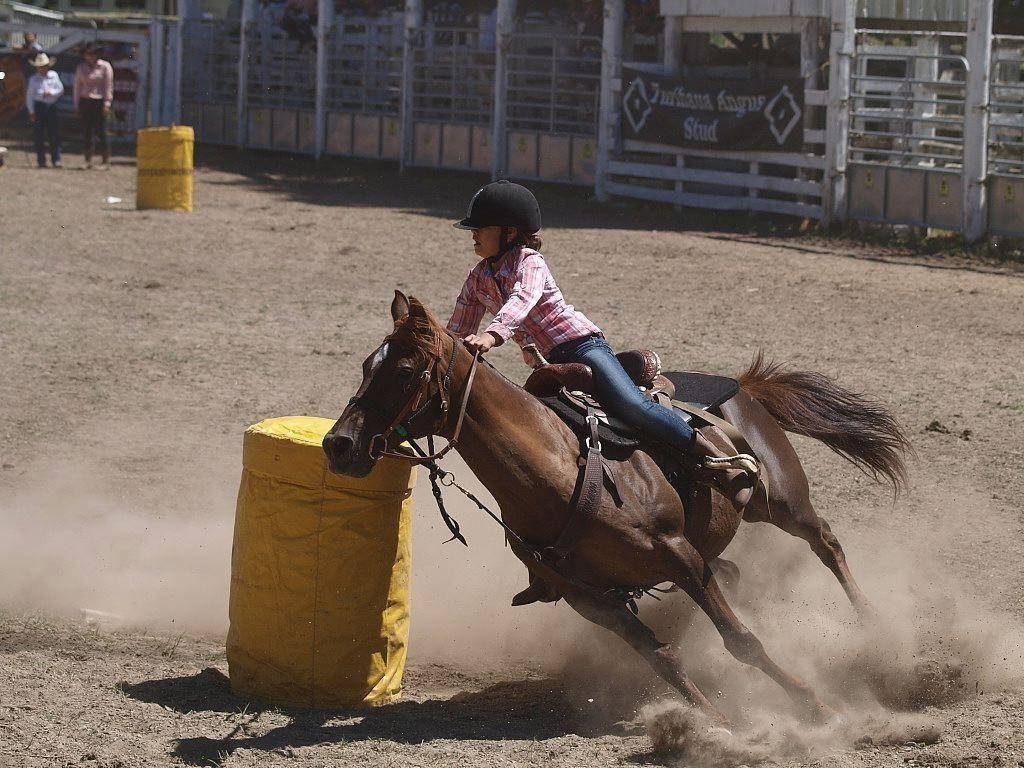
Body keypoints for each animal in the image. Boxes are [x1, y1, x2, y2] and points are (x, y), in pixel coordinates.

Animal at [323, 290, 909, 724]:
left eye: (403, 370)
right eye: (365, 364)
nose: (339, 445)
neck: (560, 471)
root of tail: (741, 384)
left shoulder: (677, 554)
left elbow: (740, 639)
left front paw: (811, 704)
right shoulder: (590, 598)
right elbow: (663, 657)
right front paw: (712, 720)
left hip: (782, 501)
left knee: (825, 541)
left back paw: (876, 627)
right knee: (739, 571)